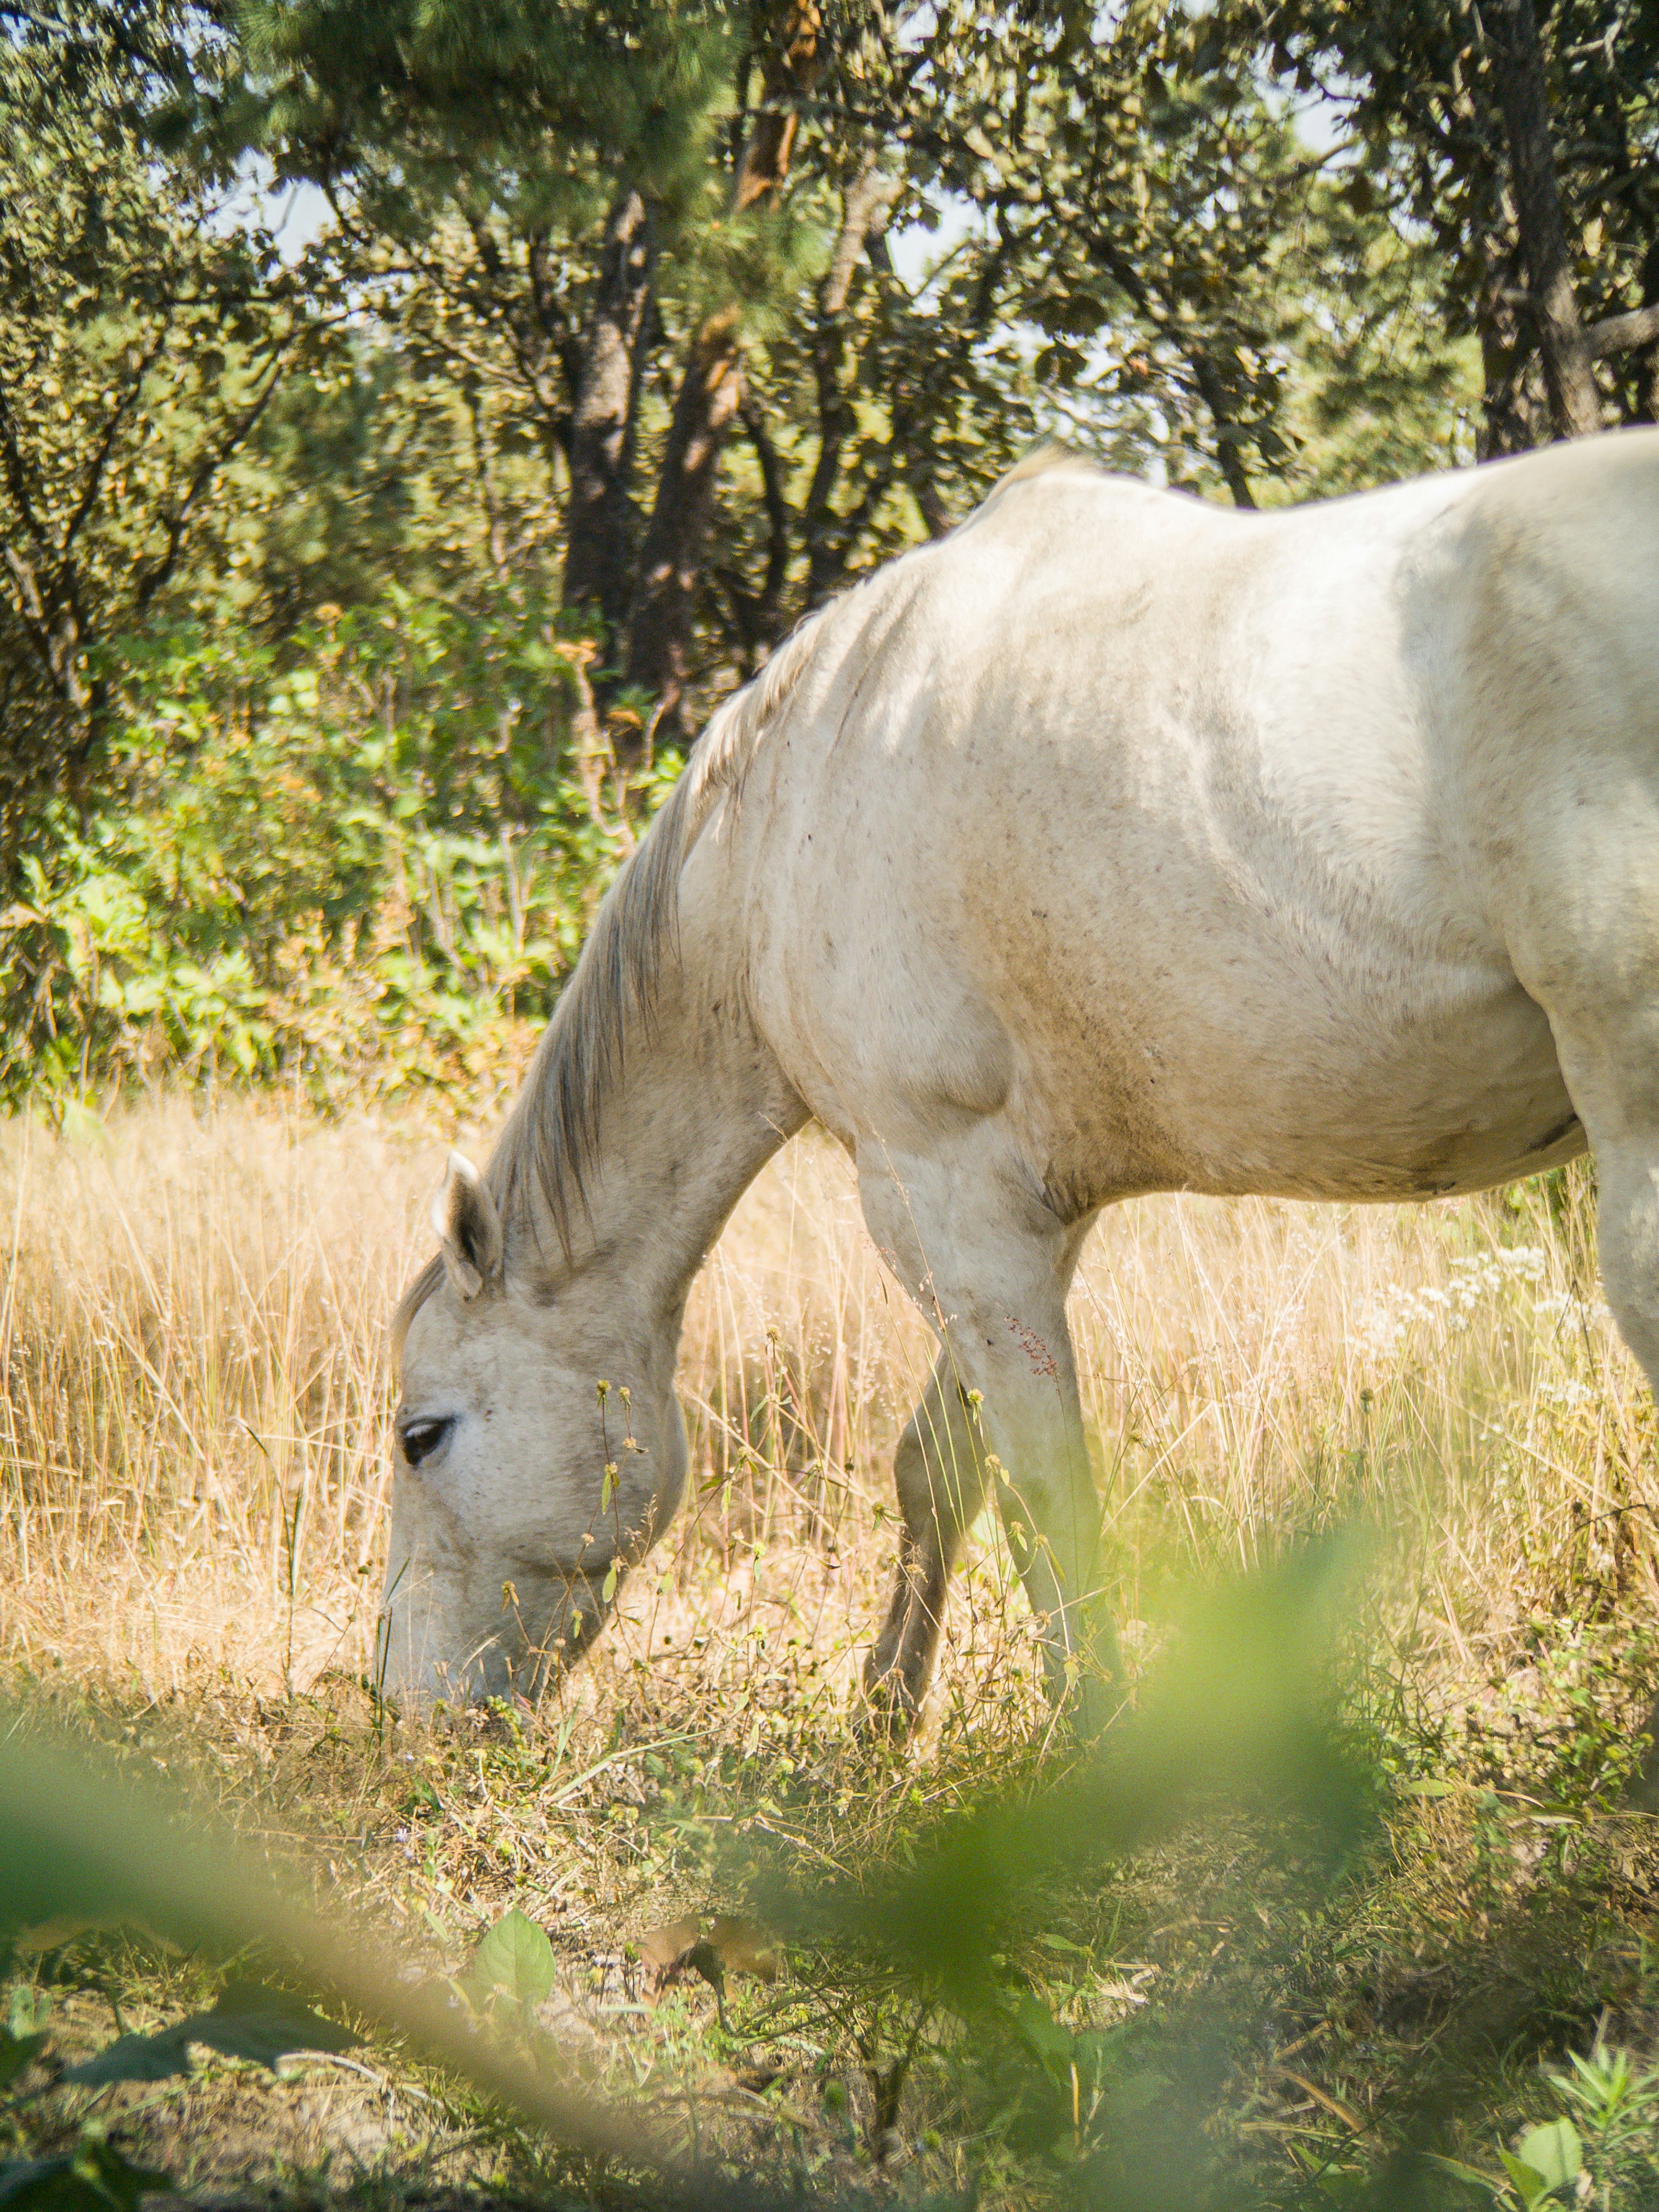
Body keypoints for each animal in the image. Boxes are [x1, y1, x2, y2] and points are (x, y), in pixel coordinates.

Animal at [380, 427, 1659, 1734]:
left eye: (420, 1436)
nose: (405, 1709)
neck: (779, 824)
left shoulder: (939, 1195)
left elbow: (1042, 1494)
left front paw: (1087, 1730)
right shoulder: (1021, 1213)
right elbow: (941, 1469)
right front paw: (886, 1712)